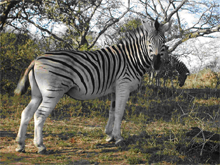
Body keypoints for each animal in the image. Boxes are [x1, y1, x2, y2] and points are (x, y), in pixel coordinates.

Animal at [14, 18, 172, 153]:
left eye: (163, 42)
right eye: (149, 42)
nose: (157, 64)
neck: (132, 59)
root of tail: (36, 59)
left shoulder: (115, 88)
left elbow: (112, 111)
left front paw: (109, 135)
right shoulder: (123, 86)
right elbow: (119, 112)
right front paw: (118, 138)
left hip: (38, 94)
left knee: (26, 113)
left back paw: (20, 145)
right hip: (53, 92)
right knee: (39, 115)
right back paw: (40, 146)